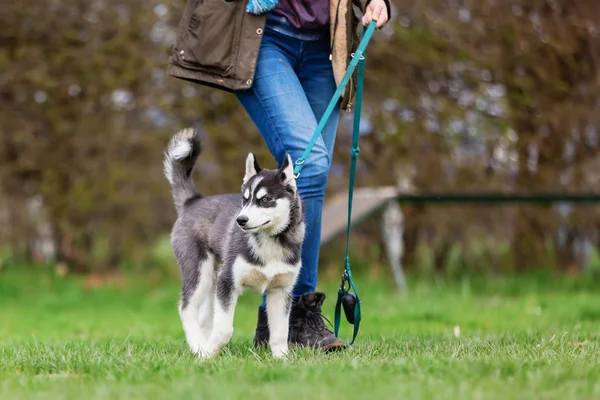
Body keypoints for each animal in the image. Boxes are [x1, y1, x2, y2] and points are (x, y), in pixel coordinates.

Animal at [163, 129, 304, 360]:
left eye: (265, 200)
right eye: (244, 199)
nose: (240, 220)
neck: (268, 242)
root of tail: (193, 201)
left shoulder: (281, 291)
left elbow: (280, 332)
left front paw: (282, 359)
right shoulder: (228, 282)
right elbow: (224, 329)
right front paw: (207, 354)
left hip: (213, 278)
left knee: (204, 316)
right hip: (200, 271)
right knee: (186, 309)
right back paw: (198, 345)